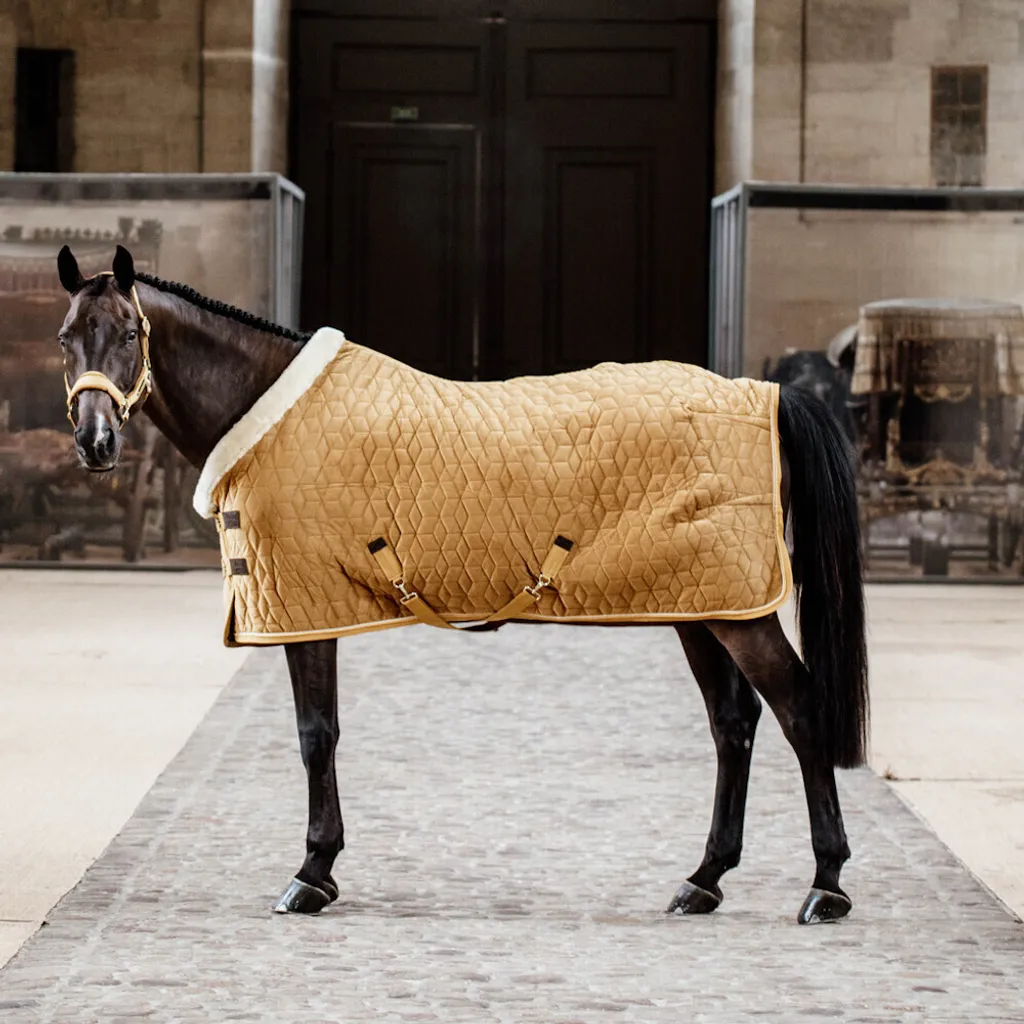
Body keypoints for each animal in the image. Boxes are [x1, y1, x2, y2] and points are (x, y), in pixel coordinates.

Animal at [54, 245, 868, 924]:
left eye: (128, 334)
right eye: (66, 337)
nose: (96, 442)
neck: (270, 413)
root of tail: (763, 395)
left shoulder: (304, 608)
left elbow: (316, 734)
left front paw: (311, 873)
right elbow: (323, 732)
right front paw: (323, 867)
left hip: (738, 610)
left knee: (799, 710)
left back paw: (826, 885)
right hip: (700, 602)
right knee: (734, 723)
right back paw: (704, 880)